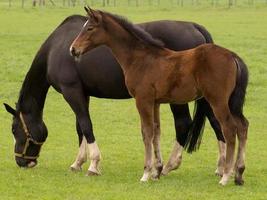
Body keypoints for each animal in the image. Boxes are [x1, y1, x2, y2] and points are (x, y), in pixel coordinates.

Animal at [5, 12, 225, 177]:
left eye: (15, 130)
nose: (21, 161)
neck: (56, 49)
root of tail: (194, 27)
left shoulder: (72, 91)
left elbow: (86, 125)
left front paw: (93, 164)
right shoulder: (82, 93)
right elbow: (80, 127)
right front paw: (78, 162)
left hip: (178, 98)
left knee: (183, 123)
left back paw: (169, 166)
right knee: (217, 122)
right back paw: (222, 167)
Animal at [69, 7, 249, 186]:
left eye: (89, 28)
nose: (73, 49)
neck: (140, 58)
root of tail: (233, 56)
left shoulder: (143, 100)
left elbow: (147, 132)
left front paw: (146, 173)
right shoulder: (155, 102)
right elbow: (156, 132)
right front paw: (156, 171)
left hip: (218, 101)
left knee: (229, 128)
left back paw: (225, 175)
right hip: (232, 103)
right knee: (243, 126)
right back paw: (239, 173)